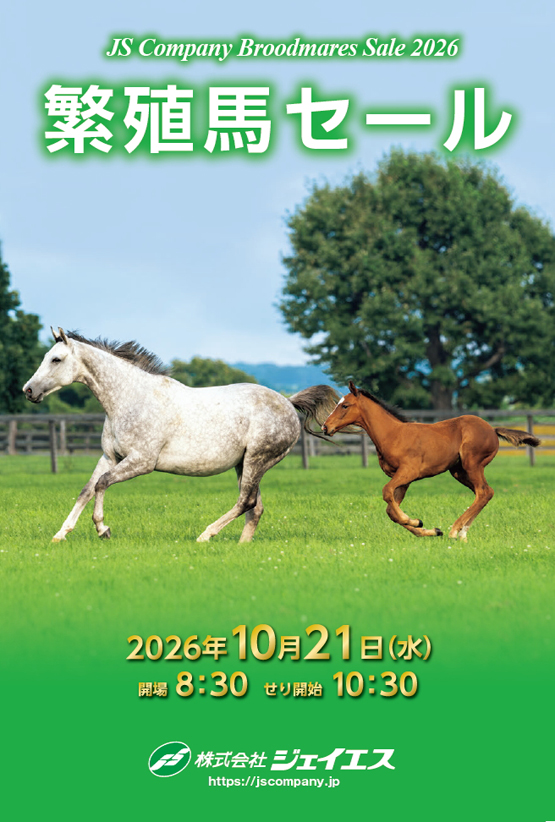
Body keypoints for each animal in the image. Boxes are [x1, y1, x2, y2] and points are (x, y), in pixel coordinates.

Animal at [23, 328, 339, 544]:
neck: (129, 399)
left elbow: (102, 484)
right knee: (255, 507)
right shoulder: (110, 457)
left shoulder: (141, 462)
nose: (28, 390)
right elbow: (86, 490)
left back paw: (205, 535)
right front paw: (60, 534)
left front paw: (103, 529)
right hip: (245, 464)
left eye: (56, 359)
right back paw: (240, 547)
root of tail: (288, 401)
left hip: (257, 460)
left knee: (246, 502)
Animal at [322, 381, 540, 541]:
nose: (325, 427)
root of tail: (492, 430)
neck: (393, 434)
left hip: (473, 464)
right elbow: (391, 510)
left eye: (344, 405)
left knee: (484, 492)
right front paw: (430, 529)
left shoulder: (408, 472)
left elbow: (386, 493)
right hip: (459, 471)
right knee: (484, 493)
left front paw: (416, 521)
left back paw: (455, 531)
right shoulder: (403, 480)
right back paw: (462, 533)